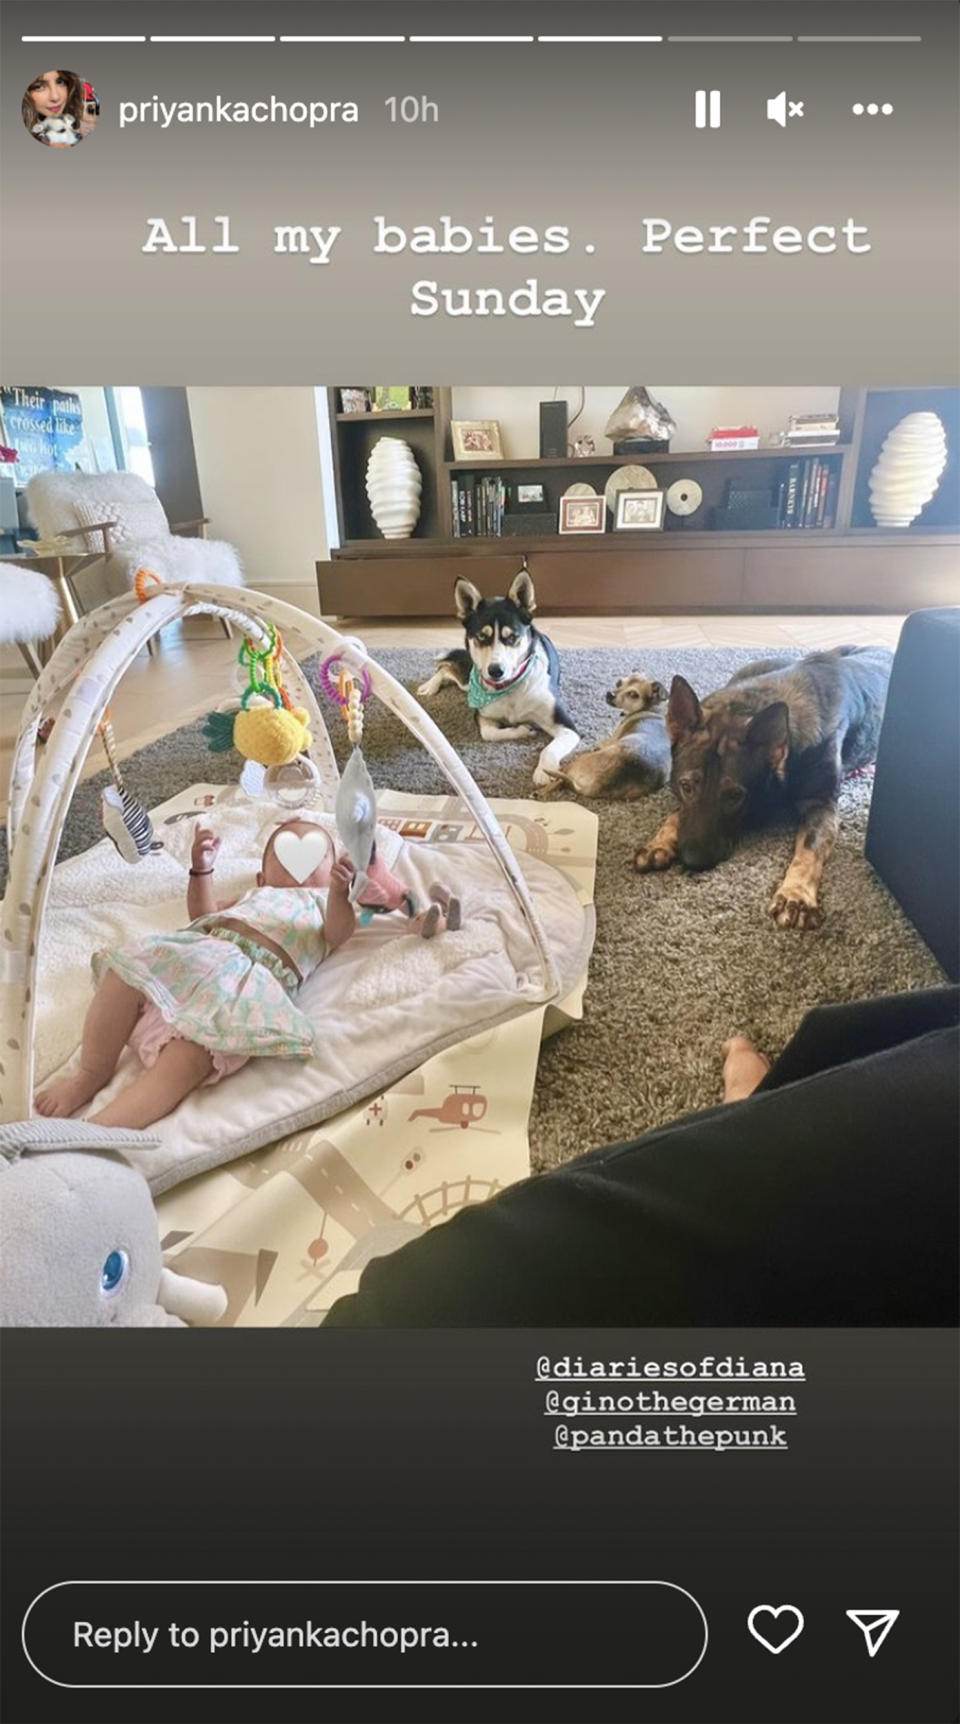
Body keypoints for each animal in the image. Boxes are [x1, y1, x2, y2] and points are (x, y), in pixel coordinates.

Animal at [413, 572, 575, 789]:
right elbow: (490, 734)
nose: (495, 671)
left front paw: (544, 771)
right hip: (469, 680)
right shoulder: (483, 715)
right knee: (446, 668)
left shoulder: (566, 726)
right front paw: (522, 730)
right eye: (482, 637)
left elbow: (549, 748)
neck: (510, 687)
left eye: (512, 637)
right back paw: (429, 686)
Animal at [530, 675, 665, 803]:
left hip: (577, 761)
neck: (652, 707)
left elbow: (601, 741)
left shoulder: (611, 739)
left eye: (633, 694)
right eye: (619, 682)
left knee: (560, 777)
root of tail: (594, 786)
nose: (610, 694)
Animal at [634, 644, 896, 930]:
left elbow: (810, 847)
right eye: (686, 786)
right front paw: (660, 841)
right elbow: (677, 814)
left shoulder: (821, 805)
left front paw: (795, 894)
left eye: (735, 796)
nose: (692, 862)